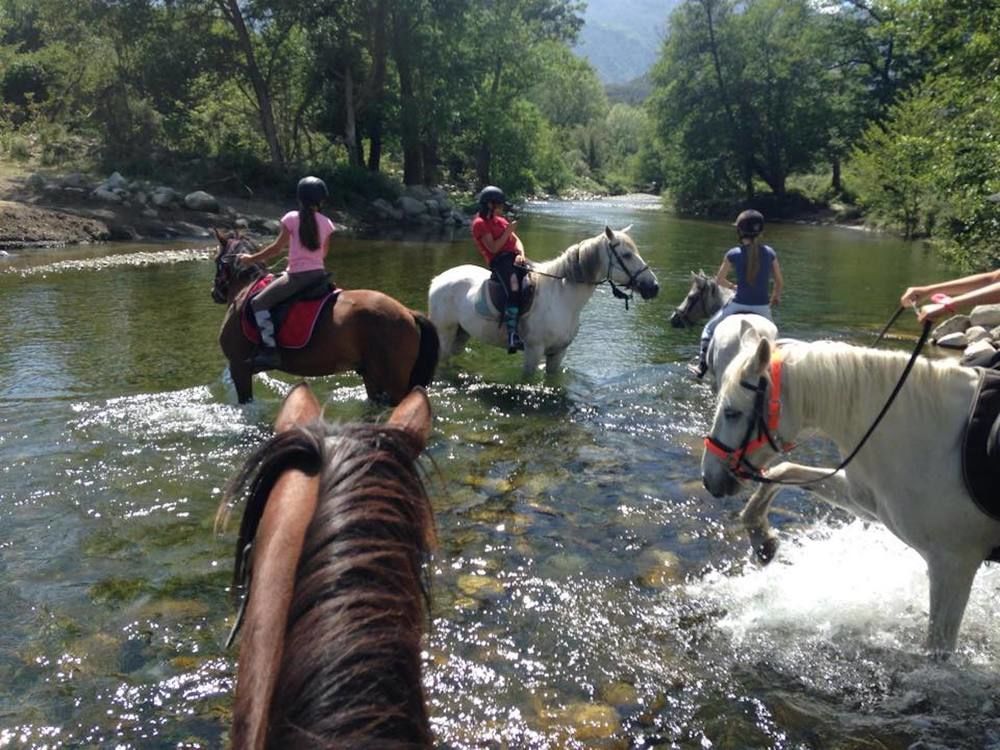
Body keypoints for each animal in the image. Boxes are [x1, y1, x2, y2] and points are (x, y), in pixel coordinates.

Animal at [211, 231, 438, 406]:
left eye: (216, 261)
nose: (214, 293)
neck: (246, 289)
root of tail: (408, 312)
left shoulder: (239, 368)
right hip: (372, 376)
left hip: (393, 383)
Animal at [428, 222, 656, 376]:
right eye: (626, 255)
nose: (653, 287)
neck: (563, 299)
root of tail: (438, 279)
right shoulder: (533, 351)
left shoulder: (558, 353)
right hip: (445, 332)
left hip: (462, 333)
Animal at [700, 324, 1000, 656]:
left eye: (732, 413)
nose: (709, 478)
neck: (933, 437)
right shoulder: (866, 502)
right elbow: (785, 471)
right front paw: (763, 540)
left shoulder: (953, 565)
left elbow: (938, 652)